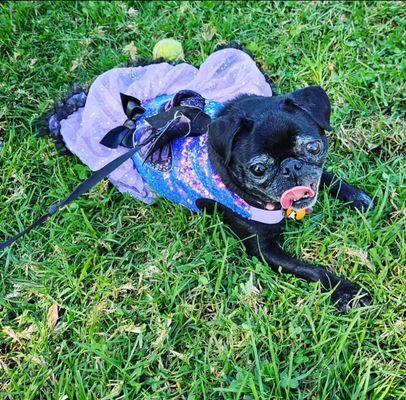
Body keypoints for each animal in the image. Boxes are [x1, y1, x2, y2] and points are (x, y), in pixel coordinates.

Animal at [197, 86, 374, 314]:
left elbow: (326, 176)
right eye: (258, 169)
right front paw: (347, 292)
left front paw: (354, 196)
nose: (290, 167)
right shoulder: (264, 250)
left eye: (313, 148)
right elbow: (312, 270)